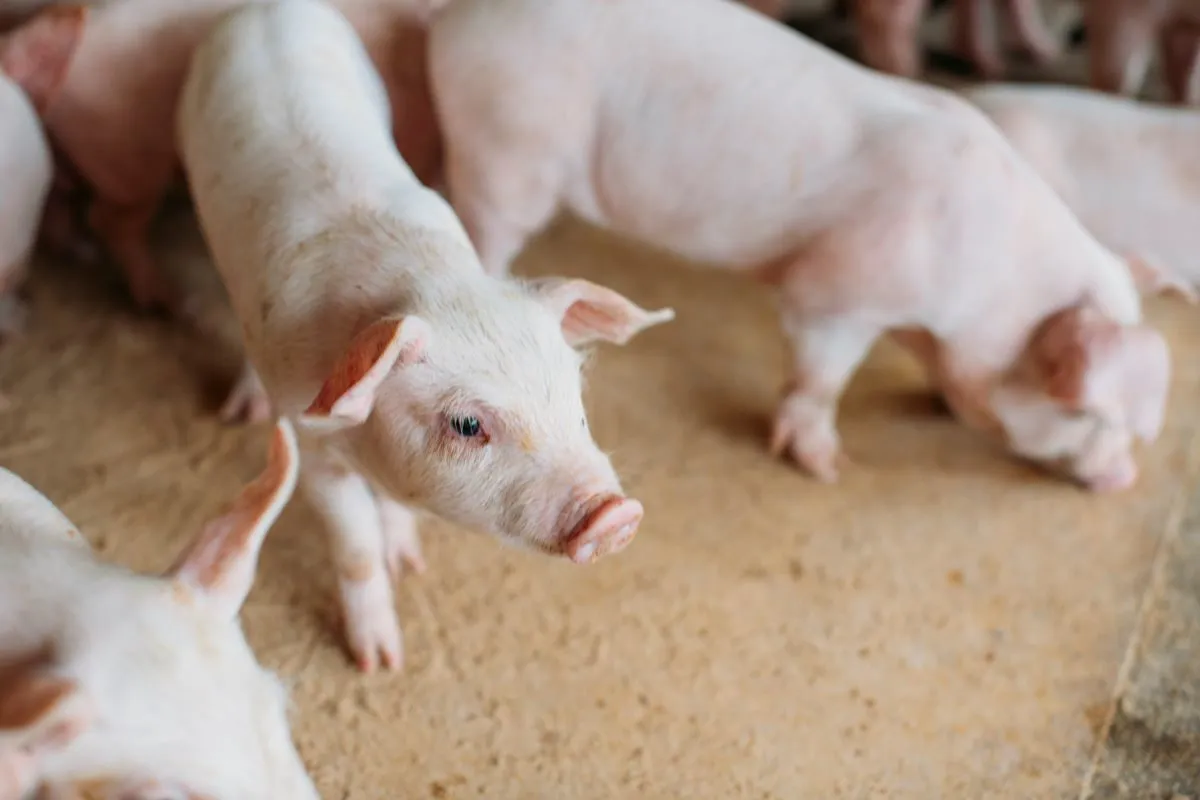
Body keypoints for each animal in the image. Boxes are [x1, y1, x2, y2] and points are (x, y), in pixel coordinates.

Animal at [178, 0, 673, 673]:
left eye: (575, 397)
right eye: (466, 424)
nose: (617, 514)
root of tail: (265, 8)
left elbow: (390, 510)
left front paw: (408, 562)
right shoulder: (315, 448)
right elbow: (354, 543)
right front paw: (382, 662)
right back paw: (244, 409)